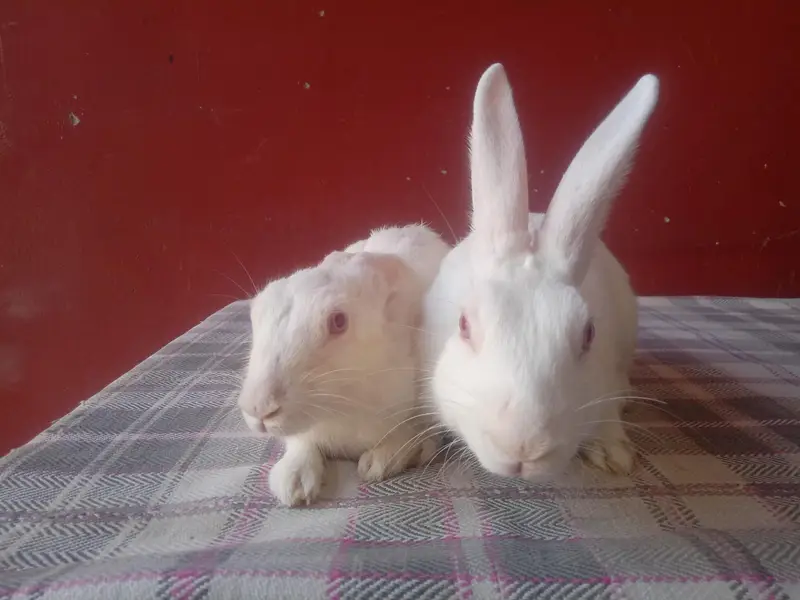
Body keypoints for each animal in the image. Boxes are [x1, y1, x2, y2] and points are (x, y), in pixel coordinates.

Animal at [239, 224, 451, 506]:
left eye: (339, 321)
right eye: (256, 313)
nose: (257, 408)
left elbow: (412, 436)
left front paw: (376, 464)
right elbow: (301, 444)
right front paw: (294, 484)